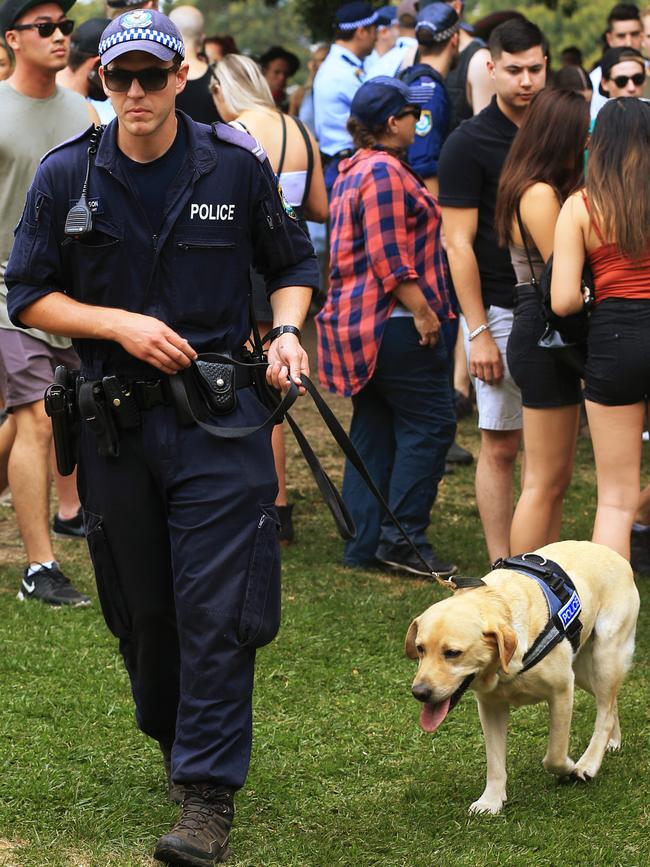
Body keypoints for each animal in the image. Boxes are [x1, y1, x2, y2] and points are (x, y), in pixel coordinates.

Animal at [404, 540, 636, 816]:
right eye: (420, 649)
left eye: (452, 653)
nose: (419, 693)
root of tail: (608, 550)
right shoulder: (490, 706)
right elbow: (494, 761)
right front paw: (491, 801)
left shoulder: (561, 691)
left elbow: (554, 756)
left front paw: (570, 766)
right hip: (582, 670)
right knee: (610, 704)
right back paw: (612, 741)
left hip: (604, 656)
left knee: (605, 712)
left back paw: (588, 764)